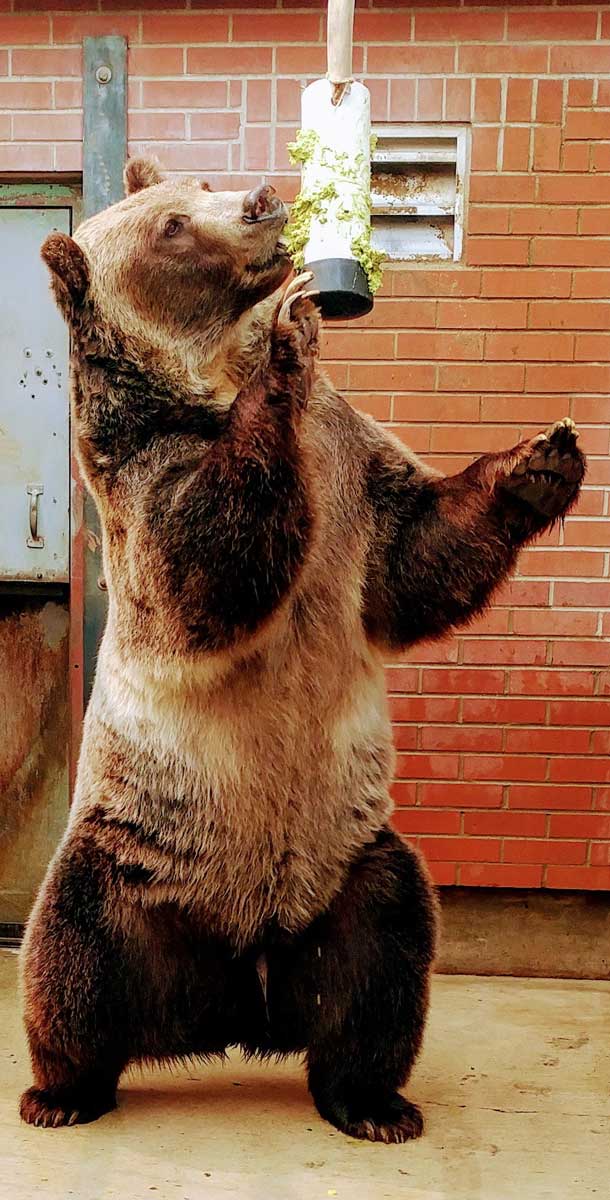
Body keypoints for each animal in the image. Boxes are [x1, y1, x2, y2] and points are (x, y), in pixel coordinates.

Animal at [20, 156, 585, 1142]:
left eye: (198, 187)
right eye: (172, 226)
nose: (257, 202)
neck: (206, 380)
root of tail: (241, 981)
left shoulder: (353, 467)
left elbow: (414, 555)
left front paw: (540, 460)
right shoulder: (143, 470)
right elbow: (203, 567)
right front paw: (291, 335)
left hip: (349, 864)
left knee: (383, 966)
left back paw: (373, 1104)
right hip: (127, 850)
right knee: (69, 957)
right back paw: (59, 1093)